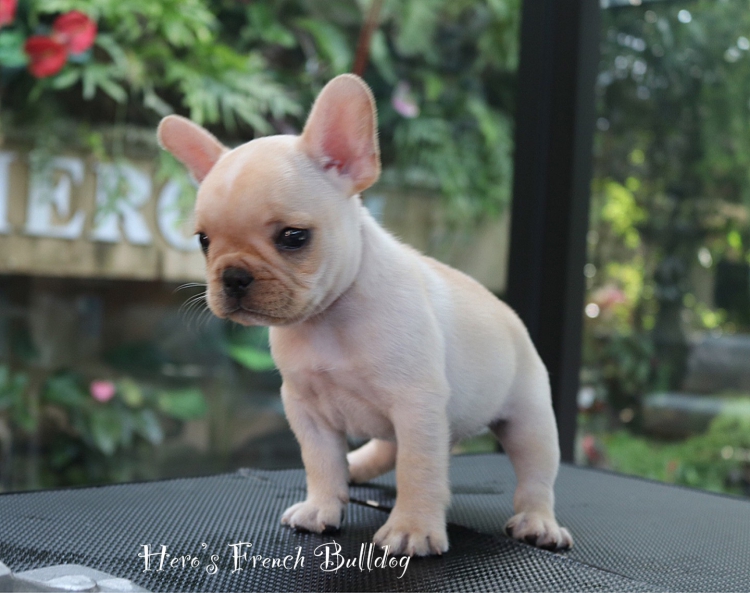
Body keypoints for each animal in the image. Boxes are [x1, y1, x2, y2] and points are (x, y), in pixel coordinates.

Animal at [157, 74, 573, 557]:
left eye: (294, 237)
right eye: (204, 241)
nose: (234, 276)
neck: (330, 318)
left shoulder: (416, 405)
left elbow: (418, 468)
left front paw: (412, 527)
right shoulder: (307, 410)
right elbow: (320, 461)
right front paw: (322, 505)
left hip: (529, 418)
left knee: (534, 475)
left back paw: (538, 521)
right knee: (385, 449)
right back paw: (353, 465)